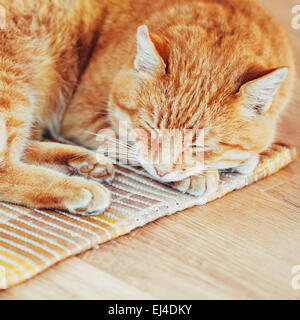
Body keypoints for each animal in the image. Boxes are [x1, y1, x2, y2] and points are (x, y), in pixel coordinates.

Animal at [0, 0, 296, 215]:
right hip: (15, 82)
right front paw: (201, 174)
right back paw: (80, 189)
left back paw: (84, 163)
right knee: (5, 167)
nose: (162, 170)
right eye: (150, 129)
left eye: (199, 144)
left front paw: (241, 161)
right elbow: (129, 147)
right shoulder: (81, 115)